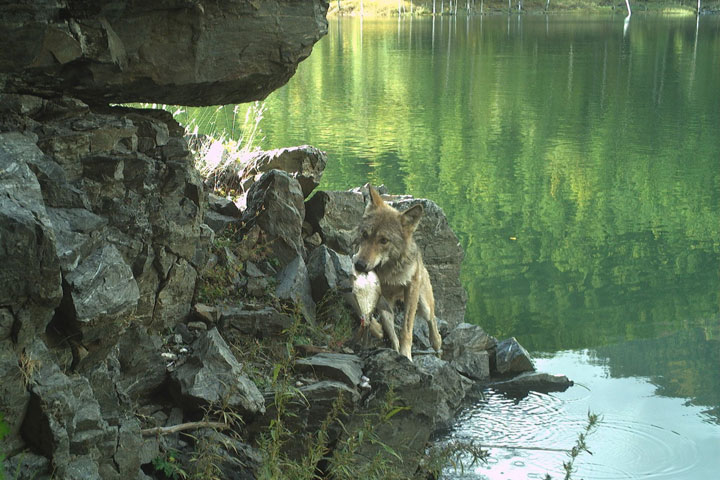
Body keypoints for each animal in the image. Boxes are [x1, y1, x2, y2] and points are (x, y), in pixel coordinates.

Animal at [352, 186, 442, 358]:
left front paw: (406, 355)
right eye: (365, 234)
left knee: (432, 320)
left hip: (423, 303)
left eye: (384, 241)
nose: (359, 265)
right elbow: (388, 328)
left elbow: (406, 329)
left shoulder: (411, 289)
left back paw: (436, 343)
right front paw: (394, 348)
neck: (390, 272)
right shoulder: (381, 296)